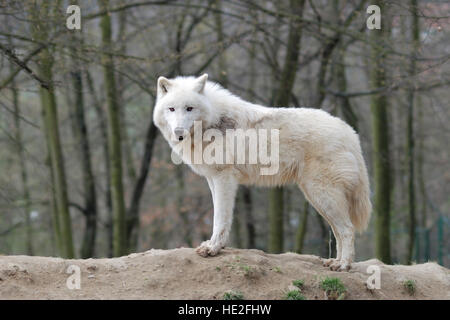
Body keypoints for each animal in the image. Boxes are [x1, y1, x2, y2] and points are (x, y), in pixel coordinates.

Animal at [153, 74, 370, 272]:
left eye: (189, 108)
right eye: (171, 109)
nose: (179, 132)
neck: (214, 121)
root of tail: (350, 132)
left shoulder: (224, 178)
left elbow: (220, 218)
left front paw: (213, 248)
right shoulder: (212, 179)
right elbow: (218, 216)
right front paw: (214, 245)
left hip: (321, 195)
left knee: (348, 229)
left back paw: (343, 265)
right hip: (318, 198)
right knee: (338, 231)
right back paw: (335, 262)